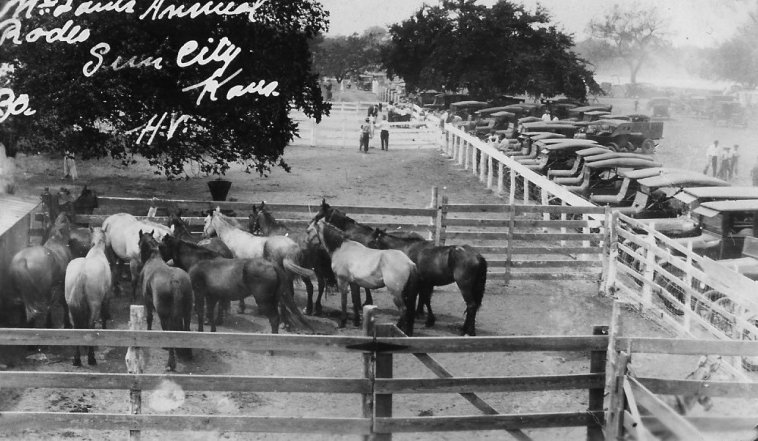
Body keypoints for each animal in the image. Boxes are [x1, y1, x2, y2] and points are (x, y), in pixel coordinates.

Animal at [64, 227, 111, 364]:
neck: (96, 251)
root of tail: (82, 272)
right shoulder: (106, 298)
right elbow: (104, 315)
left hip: (71, 307)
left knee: (76, 328)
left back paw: (77, 359)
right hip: (94, 306)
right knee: (90, 326)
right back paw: (91, 358)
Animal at [139, 230, 194, 372]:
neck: (154, 258)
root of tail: (175, 282)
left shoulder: (147, 300)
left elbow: (149, 318)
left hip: (164, 313)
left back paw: (170, 362)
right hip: (187, 312)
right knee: (186, 327)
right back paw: (187, 352)